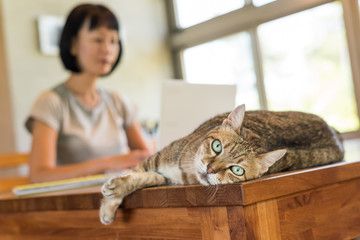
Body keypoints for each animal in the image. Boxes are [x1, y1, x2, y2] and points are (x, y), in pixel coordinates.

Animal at [100, 104, 344, 224]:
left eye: (236, 169)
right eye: (217, 146)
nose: (209, 169)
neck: (184, 172)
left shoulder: (166, 178)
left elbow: (146, 177)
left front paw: (113, 195)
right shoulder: (155, 159)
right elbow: (137, 172)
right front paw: (110, 201)